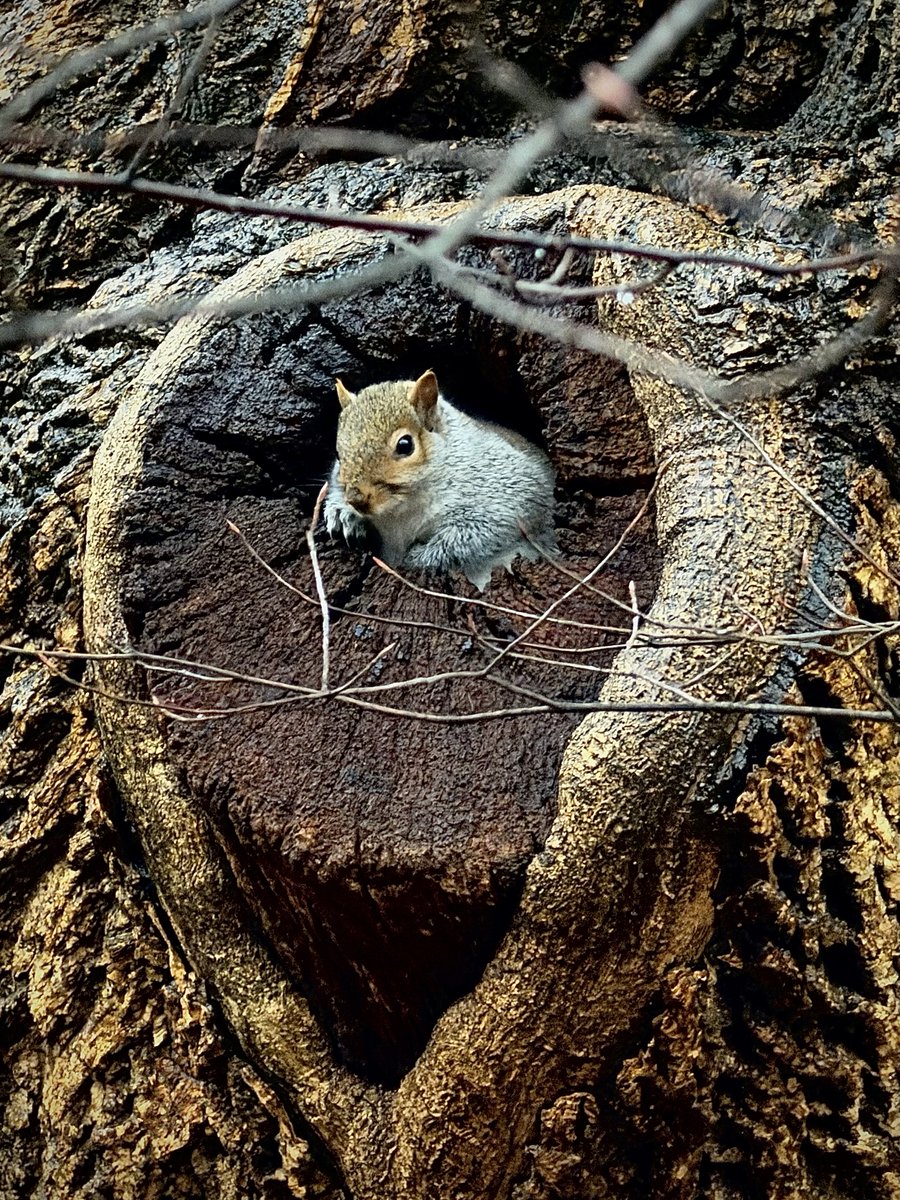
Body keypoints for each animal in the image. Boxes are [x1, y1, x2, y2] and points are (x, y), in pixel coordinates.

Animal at [323, 370, 557, 590]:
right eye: (337, 455)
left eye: (405, 445)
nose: (356, 499)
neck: (399, 514)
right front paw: (341, 513)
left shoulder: (505, 491)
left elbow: (474, 535)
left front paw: (416, 557)